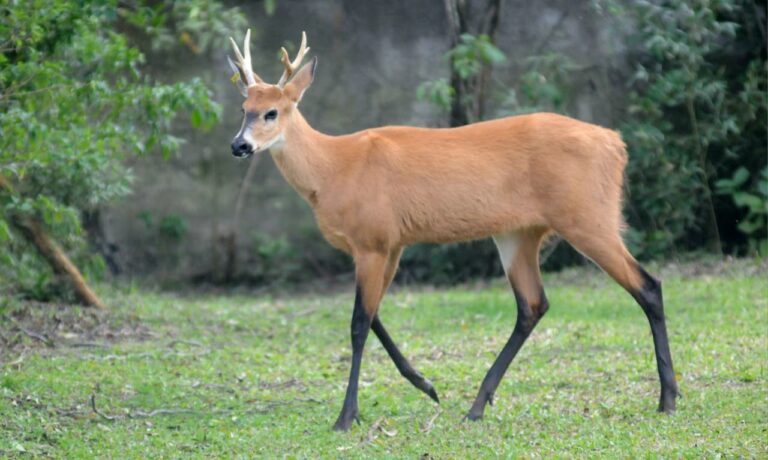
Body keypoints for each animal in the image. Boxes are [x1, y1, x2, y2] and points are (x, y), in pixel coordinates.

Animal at [226, 30, 679, 431]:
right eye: (244, 107)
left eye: (272, 112)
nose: (238, 146)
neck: (334, 169)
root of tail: (616, 144)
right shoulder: (390, 244)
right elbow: (374, 316)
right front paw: (426, 385)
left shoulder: (373, 240)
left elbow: (358, 323)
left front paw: (346, 417)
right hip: (519, 232)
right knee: (532, 305)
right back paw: (477, 407)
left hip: (587, 216)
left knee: (647, 285)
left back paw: (667, 399)